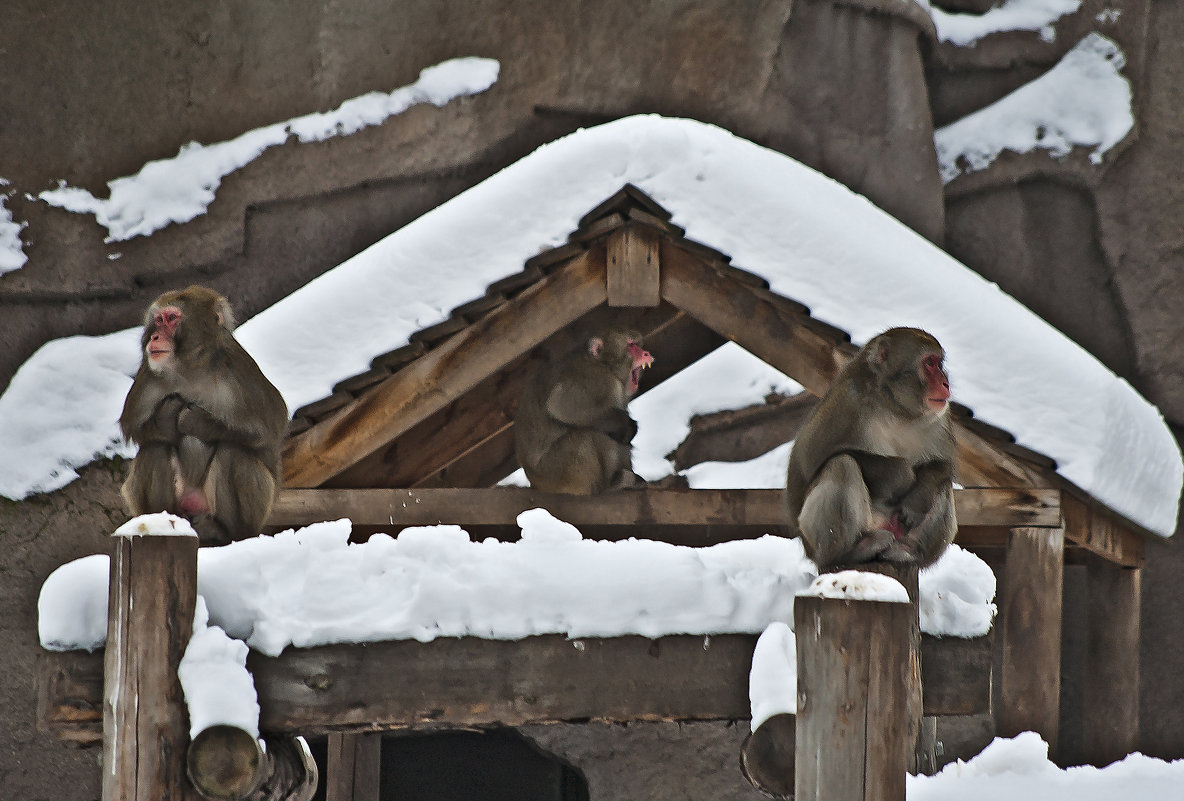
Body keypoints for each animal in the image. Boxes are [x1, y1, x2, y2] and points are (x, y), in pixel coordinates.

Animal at [118, 286, 287, 544]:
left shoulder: (240, 370)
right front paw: (166, 422)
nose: (155, 337)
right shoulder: (148, 374)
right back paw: (166, 520)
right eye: (158, 320)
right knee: (154, 449)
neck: (191, 369)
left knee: (233, 452)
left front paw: (199, 422)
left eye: (171, 318)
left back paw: (228, 531)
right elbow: (131, 428)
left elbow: (272, 429)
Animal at [511, 326, 653, 494]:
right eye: (631, 345)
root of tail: (535, 483)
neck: (605, 365)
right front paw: (624, 426)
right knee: (587, 435)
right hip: (557, 473)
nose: (645, 353)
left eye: (637, 344)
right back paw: (609, 485)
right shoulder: (597, 380)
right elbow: (561, 405)